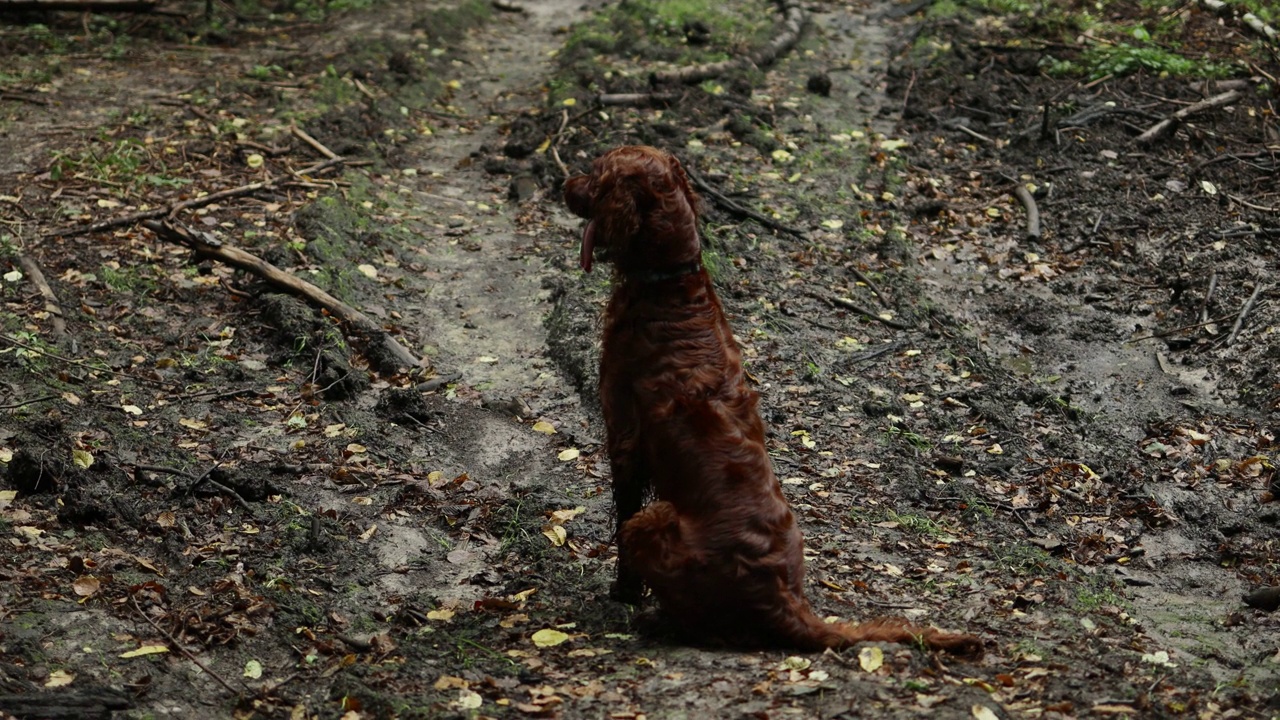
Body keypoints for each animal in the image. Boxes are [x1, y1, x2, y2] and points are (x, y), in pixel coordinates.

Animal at [565, 144, 972, 650]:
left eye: (596, 174)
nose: (564, 185)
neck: (672, 283)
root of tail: (787, 605)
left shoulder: (623, 433)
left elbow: (620, 516)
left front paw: (622, 592)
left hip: (656, 519)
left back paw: (655, 620)